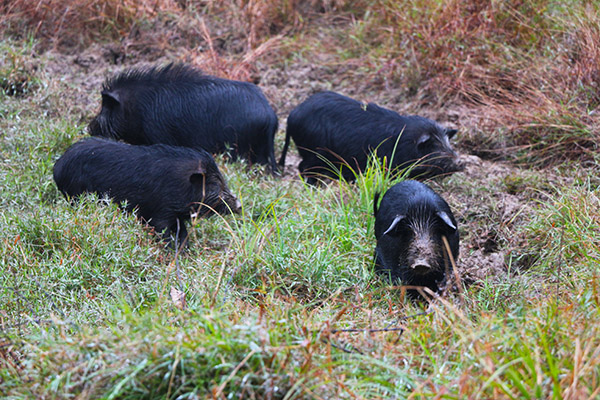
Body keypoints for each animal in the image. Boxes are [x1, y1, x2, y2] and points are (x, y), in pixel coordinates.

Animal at [52, 138, 239, 245]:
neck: (179, 184)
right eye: (214, 184)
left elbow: (183, 232)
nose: (239, 204)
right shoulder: (160, 212)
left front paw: (184, 247)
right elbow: (163, 232)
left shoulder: (175, 215)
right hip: (76, 195)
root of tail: (57, 167)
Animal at [88, 63, 280, 173]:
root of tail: (271, 117)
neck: (137, 106)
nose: (90, 128)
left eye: (106, 107)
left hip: (240, 149)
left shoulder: (159, 135)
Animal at [278, 91, 462, 184]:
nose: (460, 162)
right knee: (303, 167)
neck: (405, 143)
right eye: (434, 147)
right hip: (313, 152)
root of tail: (292, 116)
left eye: (448, 143)